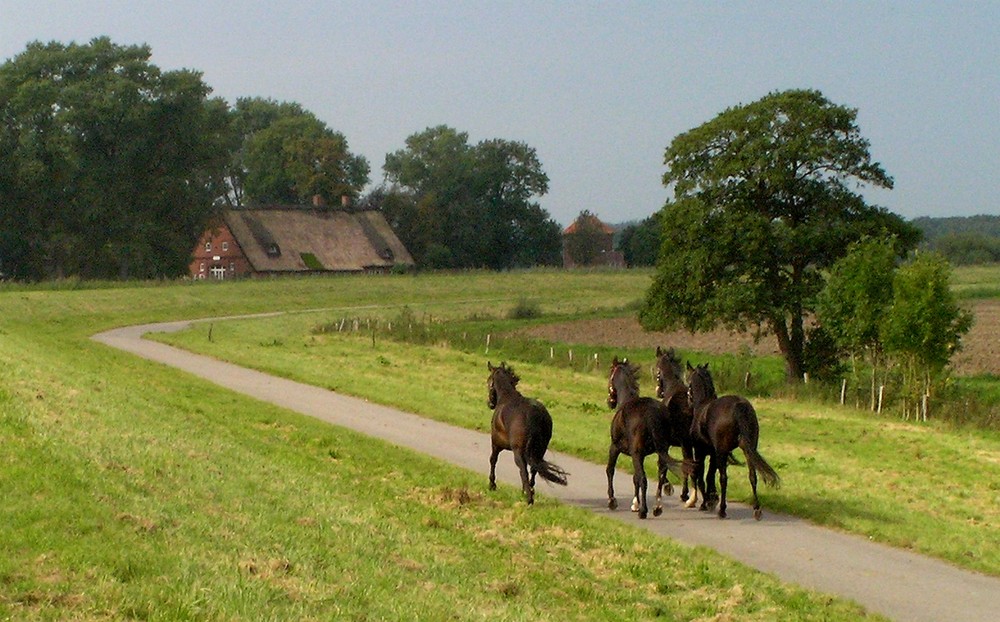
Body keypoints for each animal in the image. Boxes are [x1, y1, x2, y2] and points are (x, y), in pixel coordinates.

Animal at [486, 364, 568, 504]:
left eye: (489, 381)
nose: (490, 404)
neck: (507, 396)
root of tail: (534, 414)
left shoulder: (496, 444)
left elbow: (493, 460)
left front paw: (492, 484)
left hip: (519, 452)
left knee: (523, 470)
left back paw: (528, 497)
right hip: (539, 451)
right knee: (533, 469)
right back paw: (529, 491)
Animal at [604, 358, 684, 520]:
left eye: (610, 373)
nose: (610, 401)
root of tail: (650, 413)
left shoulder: (615, 448)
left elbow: (611, 470)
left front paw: (612, 501)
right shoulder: (641, 455)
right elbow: (635, 477)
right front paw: (635, 503)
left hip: (635, 453)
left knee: (643, 478)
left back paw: (643, 510)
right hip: (661, 451)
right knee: (660, 475)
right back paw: (657, 507)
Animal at [652, 348, 700, 510]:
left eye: (657, 368)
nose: (658, 391)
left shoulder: (666, 442)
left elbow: (663, 463)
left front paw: (667, 487)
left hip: (686, 443)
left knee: (689, 464)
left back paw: (690, 498)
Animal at [688, 364, 780, 520]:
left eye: (688, 382)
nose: (688, 399)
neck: (702, 406)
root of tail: (739, 405)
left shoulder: (702, 452)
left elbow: (703, 477)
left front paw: (706, 503)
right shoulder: (714, 454)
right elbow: (710, 475)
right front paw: (712, 499)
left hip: (723, 452)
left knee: (724, 478)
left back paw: (722, 510)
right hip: (748, 449)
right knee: (752, 476)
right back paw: (757, 508)